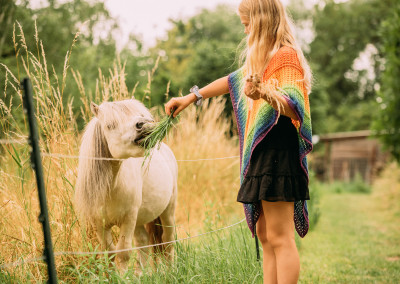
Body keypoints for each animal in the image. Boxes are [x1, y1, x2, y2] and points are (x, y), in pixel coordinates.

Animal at [75, 99, 178, 270]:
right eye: (110, 125)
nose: (143, 124)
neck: (110, 189)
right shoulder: (99, 224)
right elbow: (109, 254)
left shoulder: (128, 219)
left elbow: (123, 253)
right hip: (140, 220)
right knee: (143, 242)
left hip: (167, 211)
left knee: (167, 240)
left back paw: (171, 271)